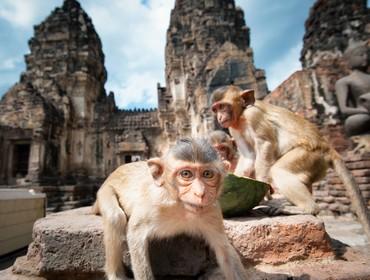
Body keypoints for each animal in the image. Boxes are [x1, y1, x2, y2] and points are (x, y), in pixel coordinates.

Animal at [91, 138, 247, 280]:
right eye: (186, 174)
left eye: (207, 174)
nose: (200, 193)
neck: (181, 206)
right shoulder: (153, 203)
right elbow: (135, 233)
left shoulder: (212, 210)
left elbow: (224, 250)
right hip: (104, 191)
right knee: (115, 217)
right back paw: (116, 275)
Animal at [211, 83, 370, 238]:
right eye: (216, 109)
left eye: (223, 106)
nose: (219, 117)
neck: (241, 116)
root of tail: (327, 147)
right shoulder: (233, 128)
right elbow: (249, 155)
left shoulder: (253, 115)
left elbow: (265, 144)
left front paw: (263, 187)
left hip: (310, 155)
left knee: (279, 170)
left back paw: (306, 208)